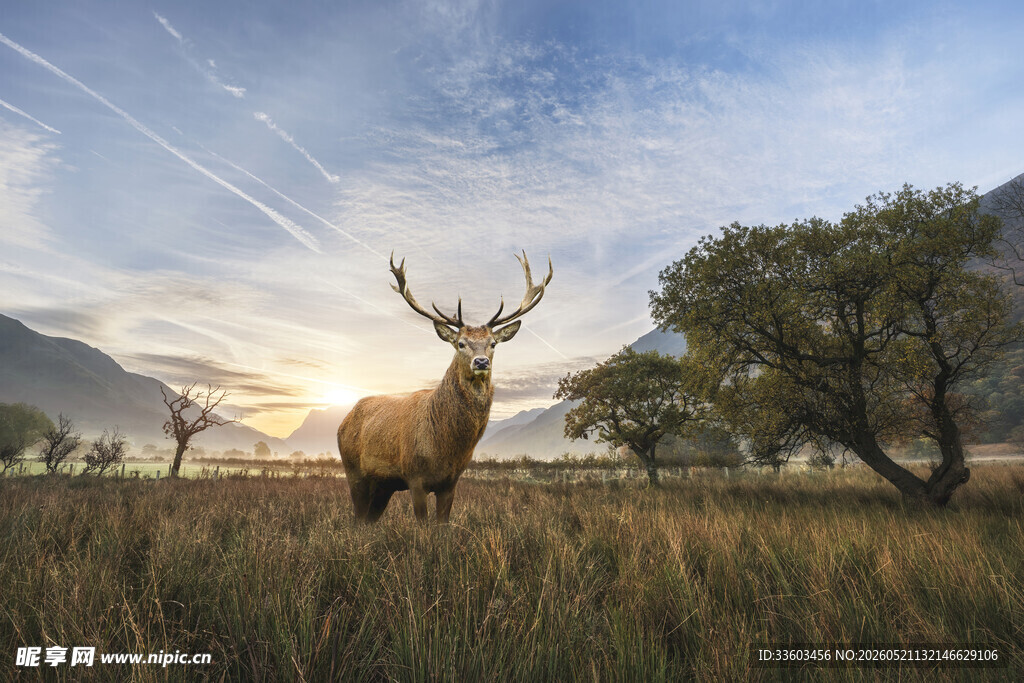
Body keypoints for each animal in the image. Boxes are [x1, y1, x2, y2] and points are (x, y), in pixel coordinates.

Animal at [337, 251, 552, 523]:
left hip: (383, 485)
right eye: (461, 343)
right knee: (357, 518)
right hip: (353, 471)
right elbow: (423, 525)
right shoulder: (415, 477)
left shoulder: (451, 482)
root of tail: (344, 421)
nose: (481, 362)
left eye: (493, 343)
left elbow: (443, 525)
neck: (444, 447)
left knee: (368, 520)